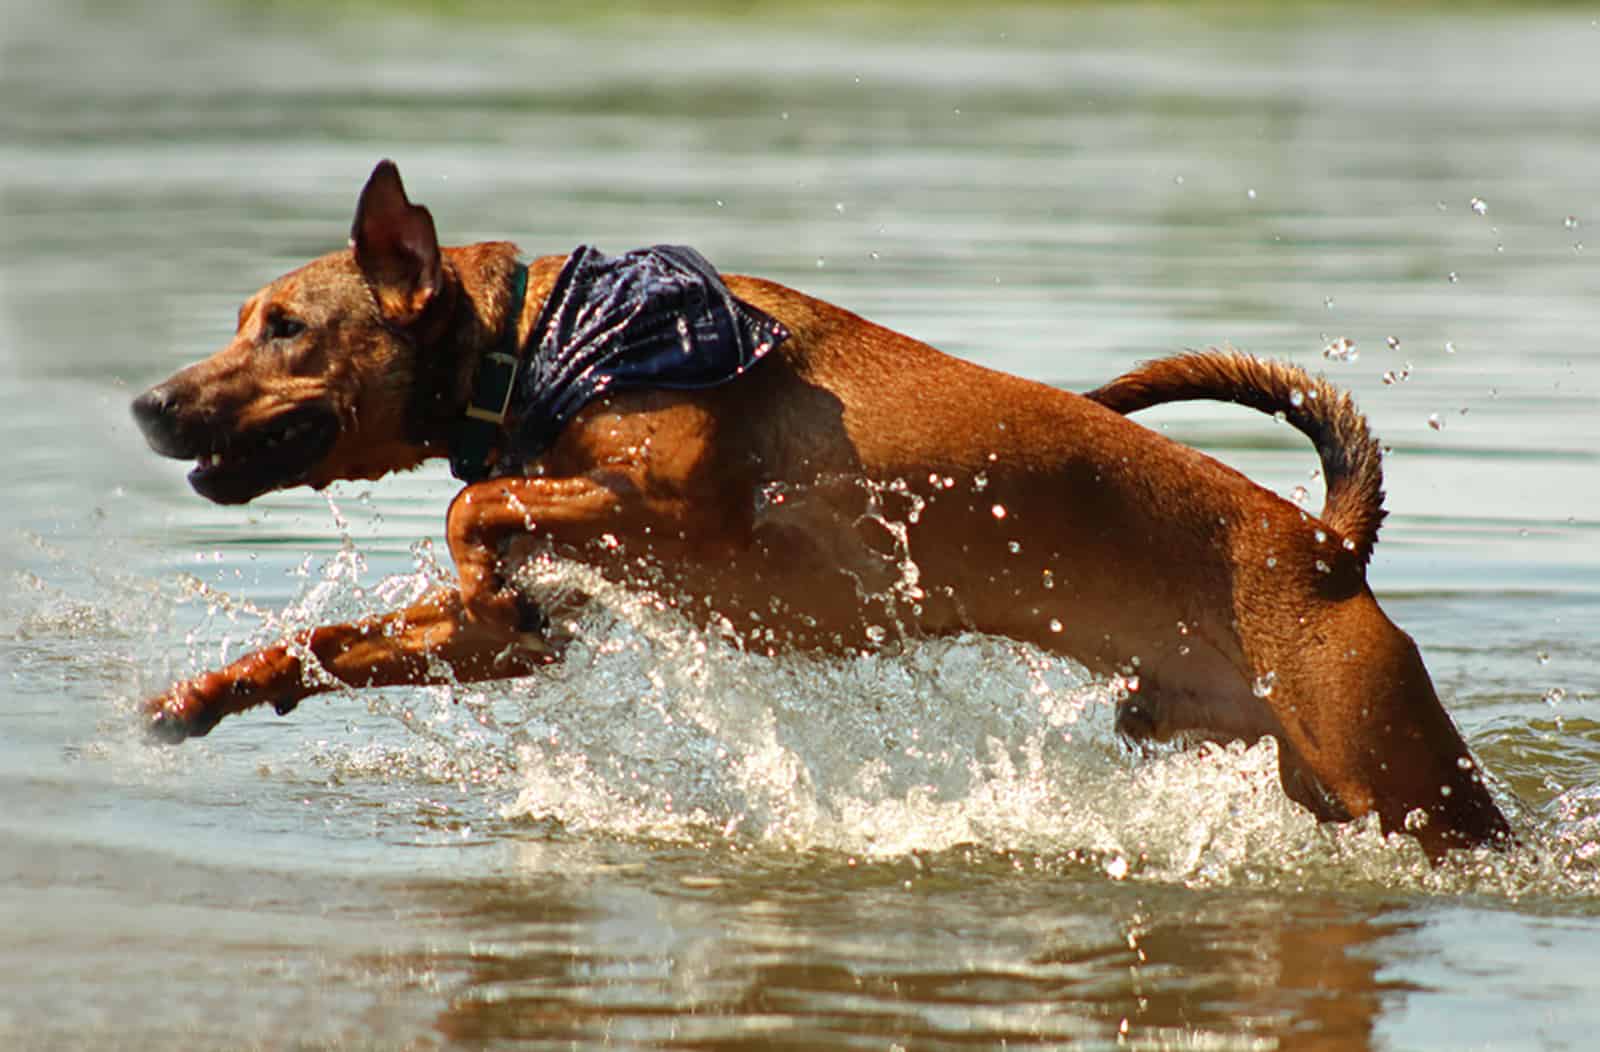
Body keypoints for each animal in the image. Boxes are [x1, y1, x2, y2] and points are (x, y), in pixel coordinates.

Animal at [131, 159, 1504, 856]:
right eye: (245, 319)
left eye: (285, 327)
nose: (147, 402)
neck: (541, 345)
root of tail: (1324, 544)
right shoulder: (511, 628)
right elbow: (338, 638)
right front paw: (204, 695)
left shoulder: (685, 501)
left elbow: (478, 512)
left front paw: (474, 537)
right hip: (1294, 762)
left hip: (1399, 773)